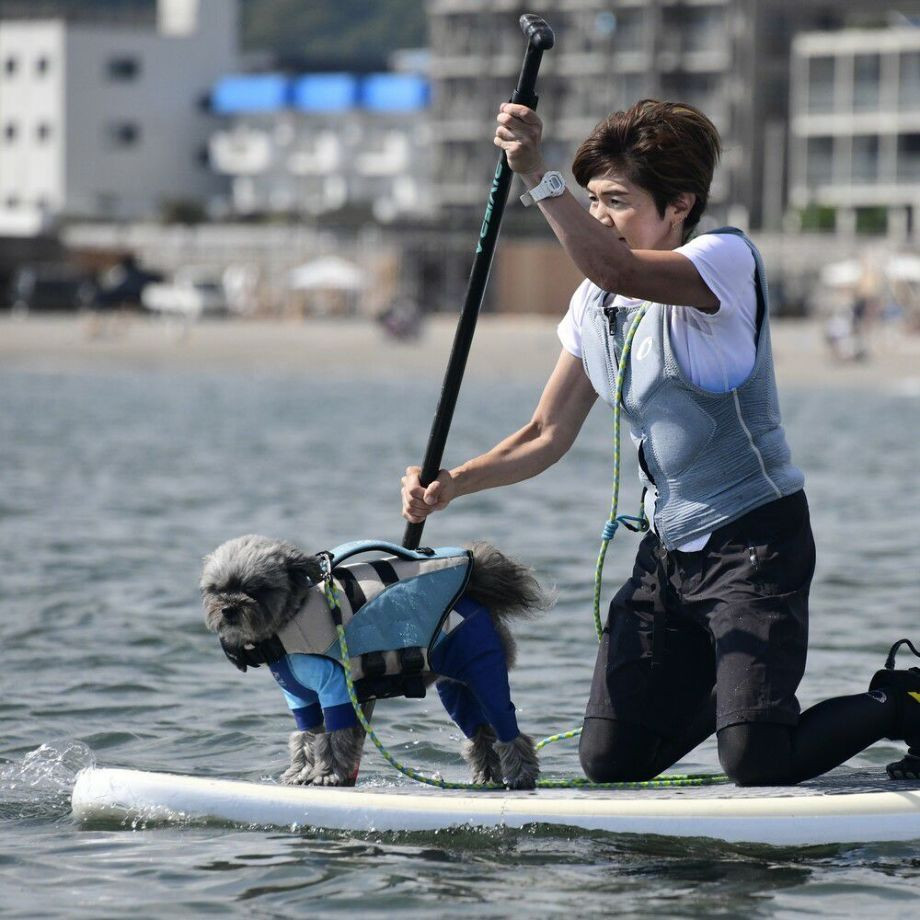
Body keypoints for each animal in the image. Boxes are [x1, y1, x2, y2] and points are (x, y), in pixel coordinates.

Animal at [201, 540, 548, 792]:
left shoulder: (335, 687)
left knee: (509, 729)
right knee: (480, 734)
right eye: (216, 589)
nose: (229, 609)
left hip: (483, 671)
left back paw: (521, 775)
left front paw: (327, 773)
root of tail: (475, 592)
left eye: (256, 588)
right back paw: (486, 777)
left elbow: (333, 735)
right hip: (457, 691)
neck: (289, 621)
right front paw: (300, 772)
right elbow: (305, 737)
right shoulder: (300, 698)